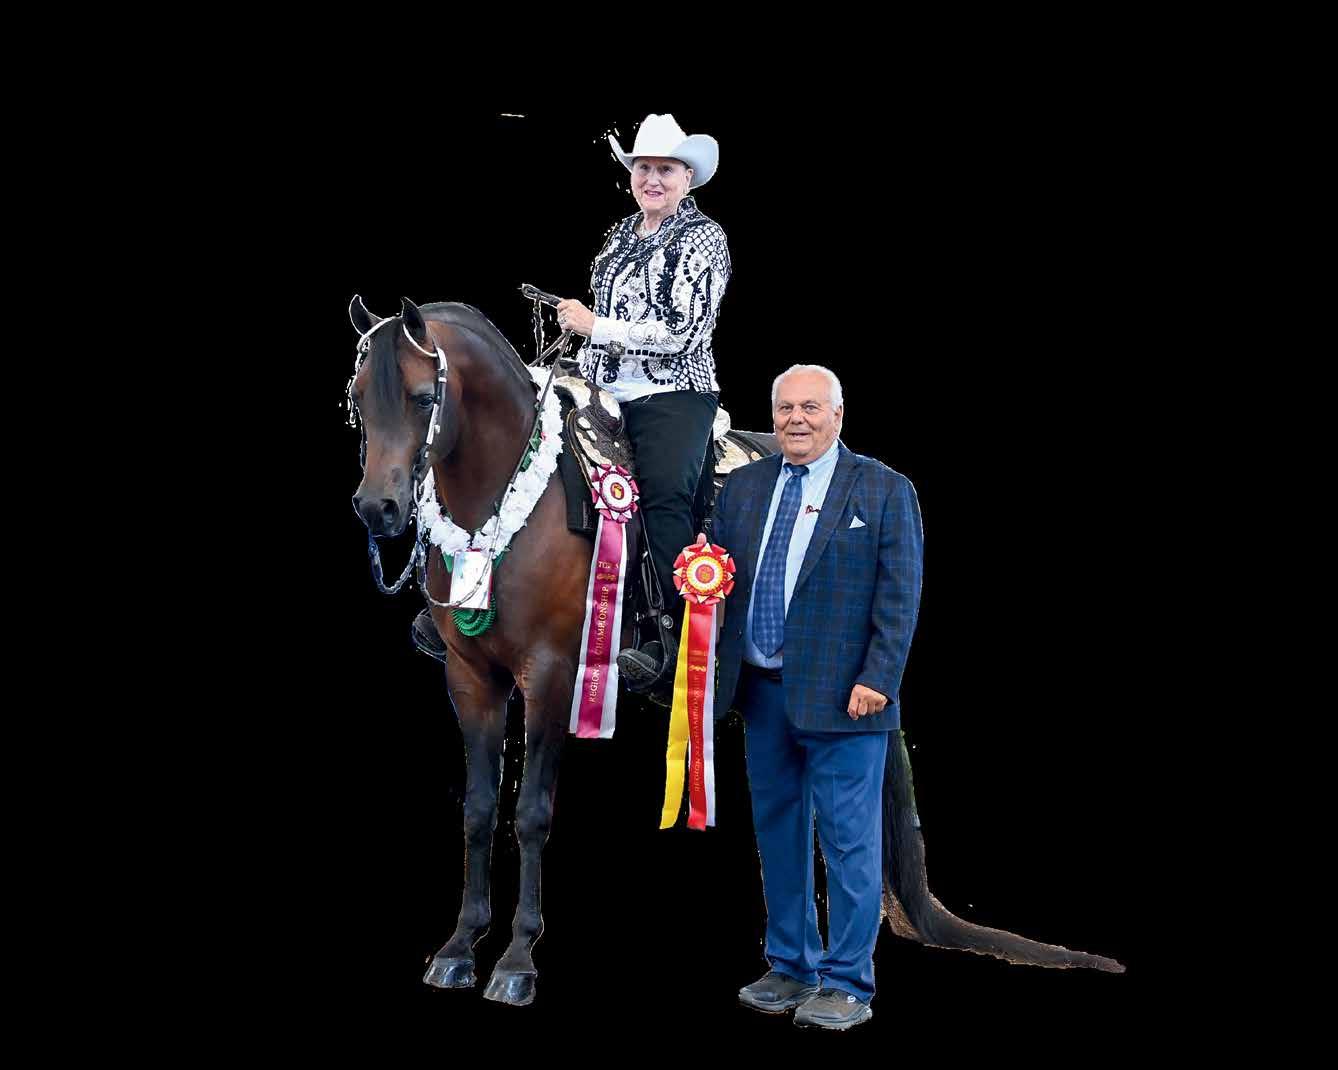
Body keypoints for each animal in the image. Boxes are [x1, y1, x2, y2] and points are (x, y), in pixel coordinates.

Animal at [347, 295, 1124, 1006]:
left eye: (423, 397)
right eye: (357, 401)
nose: (378, 509)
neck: (513, 499)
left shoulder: (552, 676)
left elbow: (532, 814)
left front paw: (516, 961)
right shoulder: (471, 678)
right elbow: (479, 811)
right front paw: (458, 947)